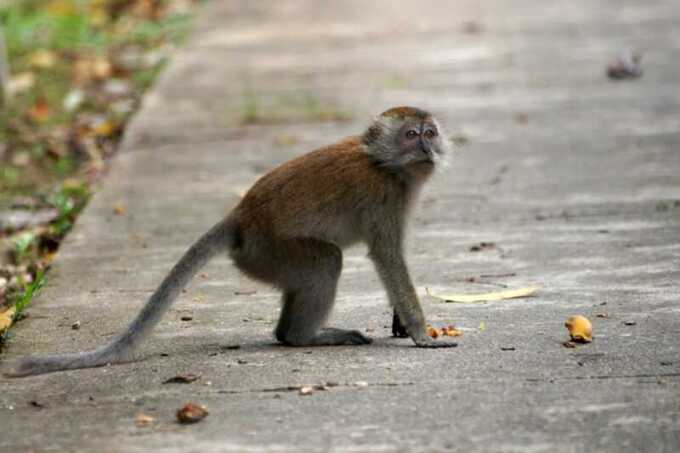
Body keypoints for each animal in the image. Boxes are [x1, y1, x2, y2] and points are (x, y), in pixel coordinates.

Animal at [3, 106, 456, 378]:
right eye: (411, 134)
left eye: (430, 132)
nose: (427, 146)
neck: (384, 164)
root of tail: (241, 215)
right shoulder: (385, 196)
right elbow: (386, 256)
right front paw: (421, 333)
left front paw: (402, 323)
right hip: (268, 251)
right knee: (326, 260)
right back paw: (304, 337)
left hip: (263, 258)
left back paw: (288, 333)